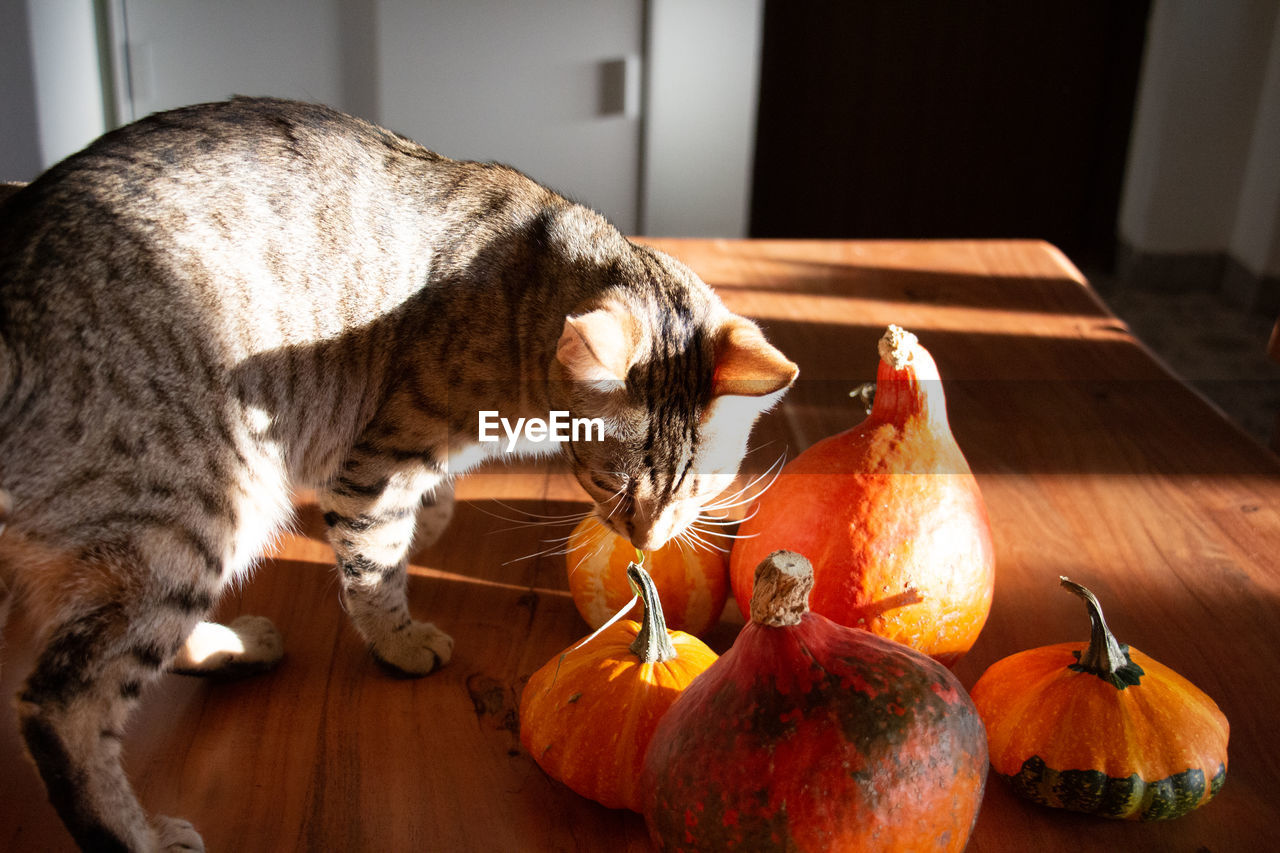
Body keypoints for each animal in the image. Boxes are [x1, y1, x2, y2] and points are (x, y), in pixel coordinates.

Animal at [0, 96, 793, 845]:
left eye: (699, 488)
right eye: (613, 485)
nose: (648, 540)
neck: (525, 290)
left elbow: (424, 510)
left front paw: (435, 521)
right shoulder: (375, 464)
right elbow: (376, 568)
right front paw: (400, 638)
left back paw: (234, 646)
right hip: (208, 508)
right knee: (63, 705)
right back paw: (140, 834)